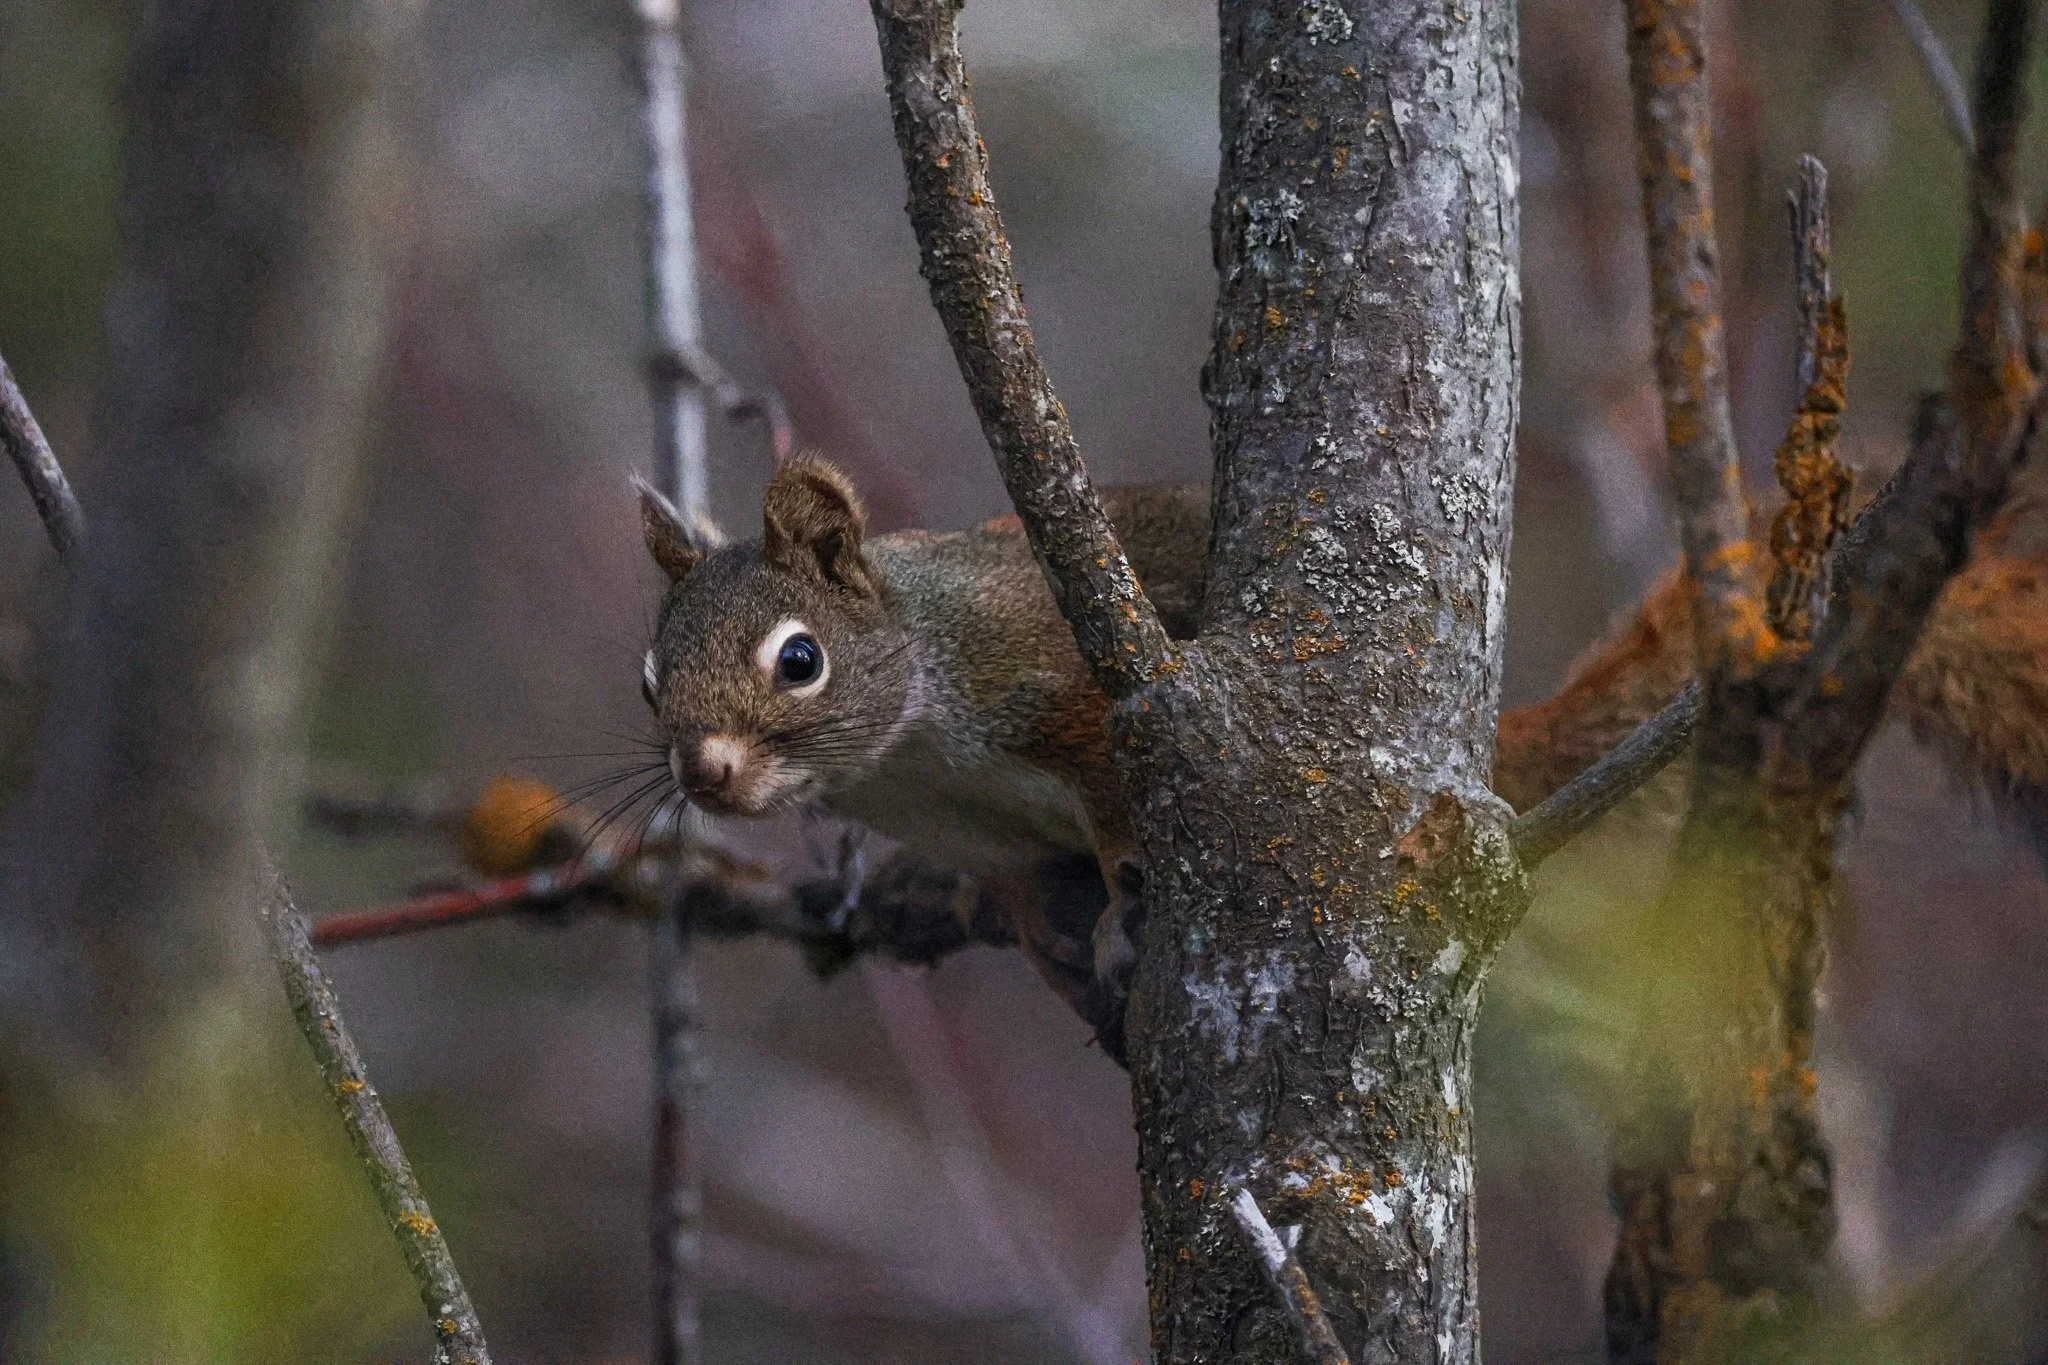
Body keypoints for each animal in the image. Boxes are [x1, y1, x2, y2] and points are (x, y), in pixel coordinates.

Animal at [638, 455, 2048, 1050]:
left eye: (799, 659)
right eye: (648, 676)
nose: (704, 775)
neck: (911, 760)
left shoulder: (1057, 684)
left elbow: (1112, 796)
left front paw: (1125, 897)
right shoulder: (983, 842)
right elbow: (1026, 894)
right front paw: (1053, 948)